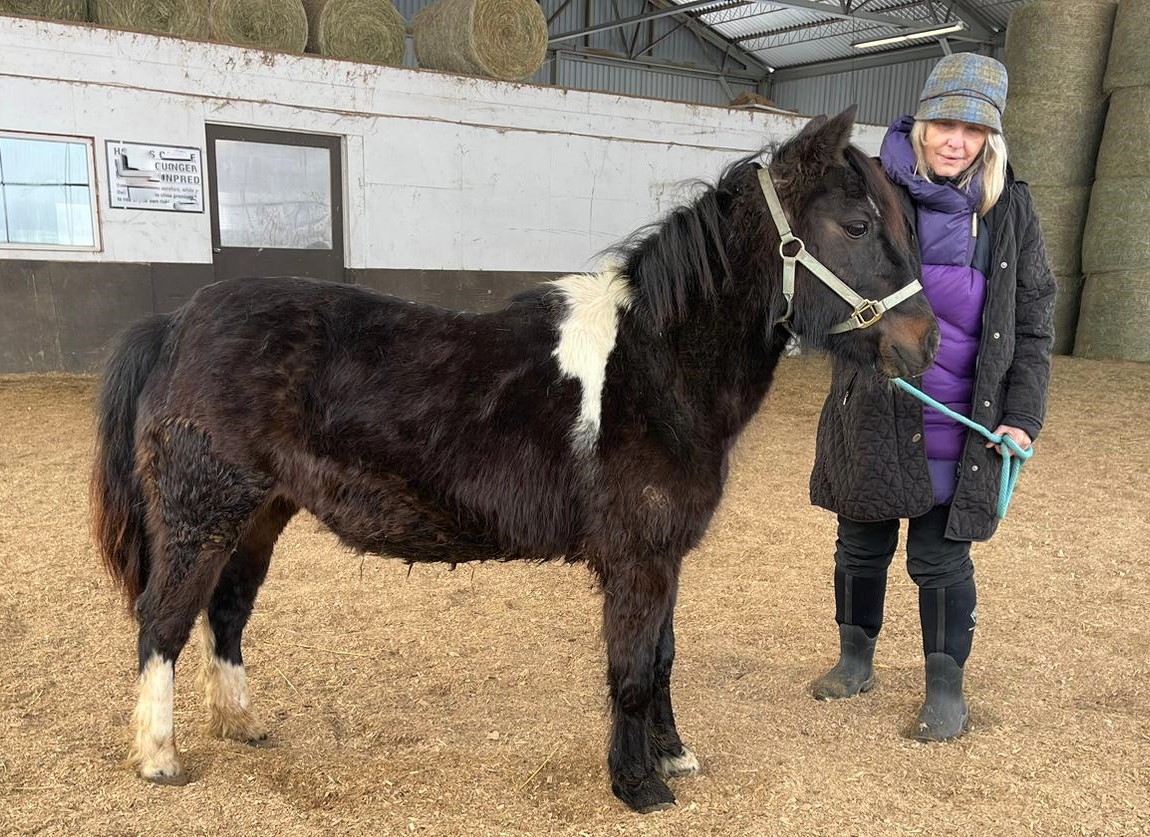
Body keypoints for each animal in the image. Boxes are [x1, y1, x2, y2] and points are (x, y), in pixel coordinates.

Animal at [91, 107, 938, 813]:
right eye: (858, 223)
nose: (925, 343)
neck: (653, 362)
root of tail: (177, 321)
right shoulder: (636, 561)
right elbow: (632, 669)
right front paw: (637, 785)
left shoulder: (664, 556)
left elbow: (663, 657)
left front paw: (672, 755)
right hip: (203, 513)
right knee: (162, 620)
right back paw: (159, 758)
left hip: (260, 514)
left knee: (226, 613)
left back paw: (241, 724)